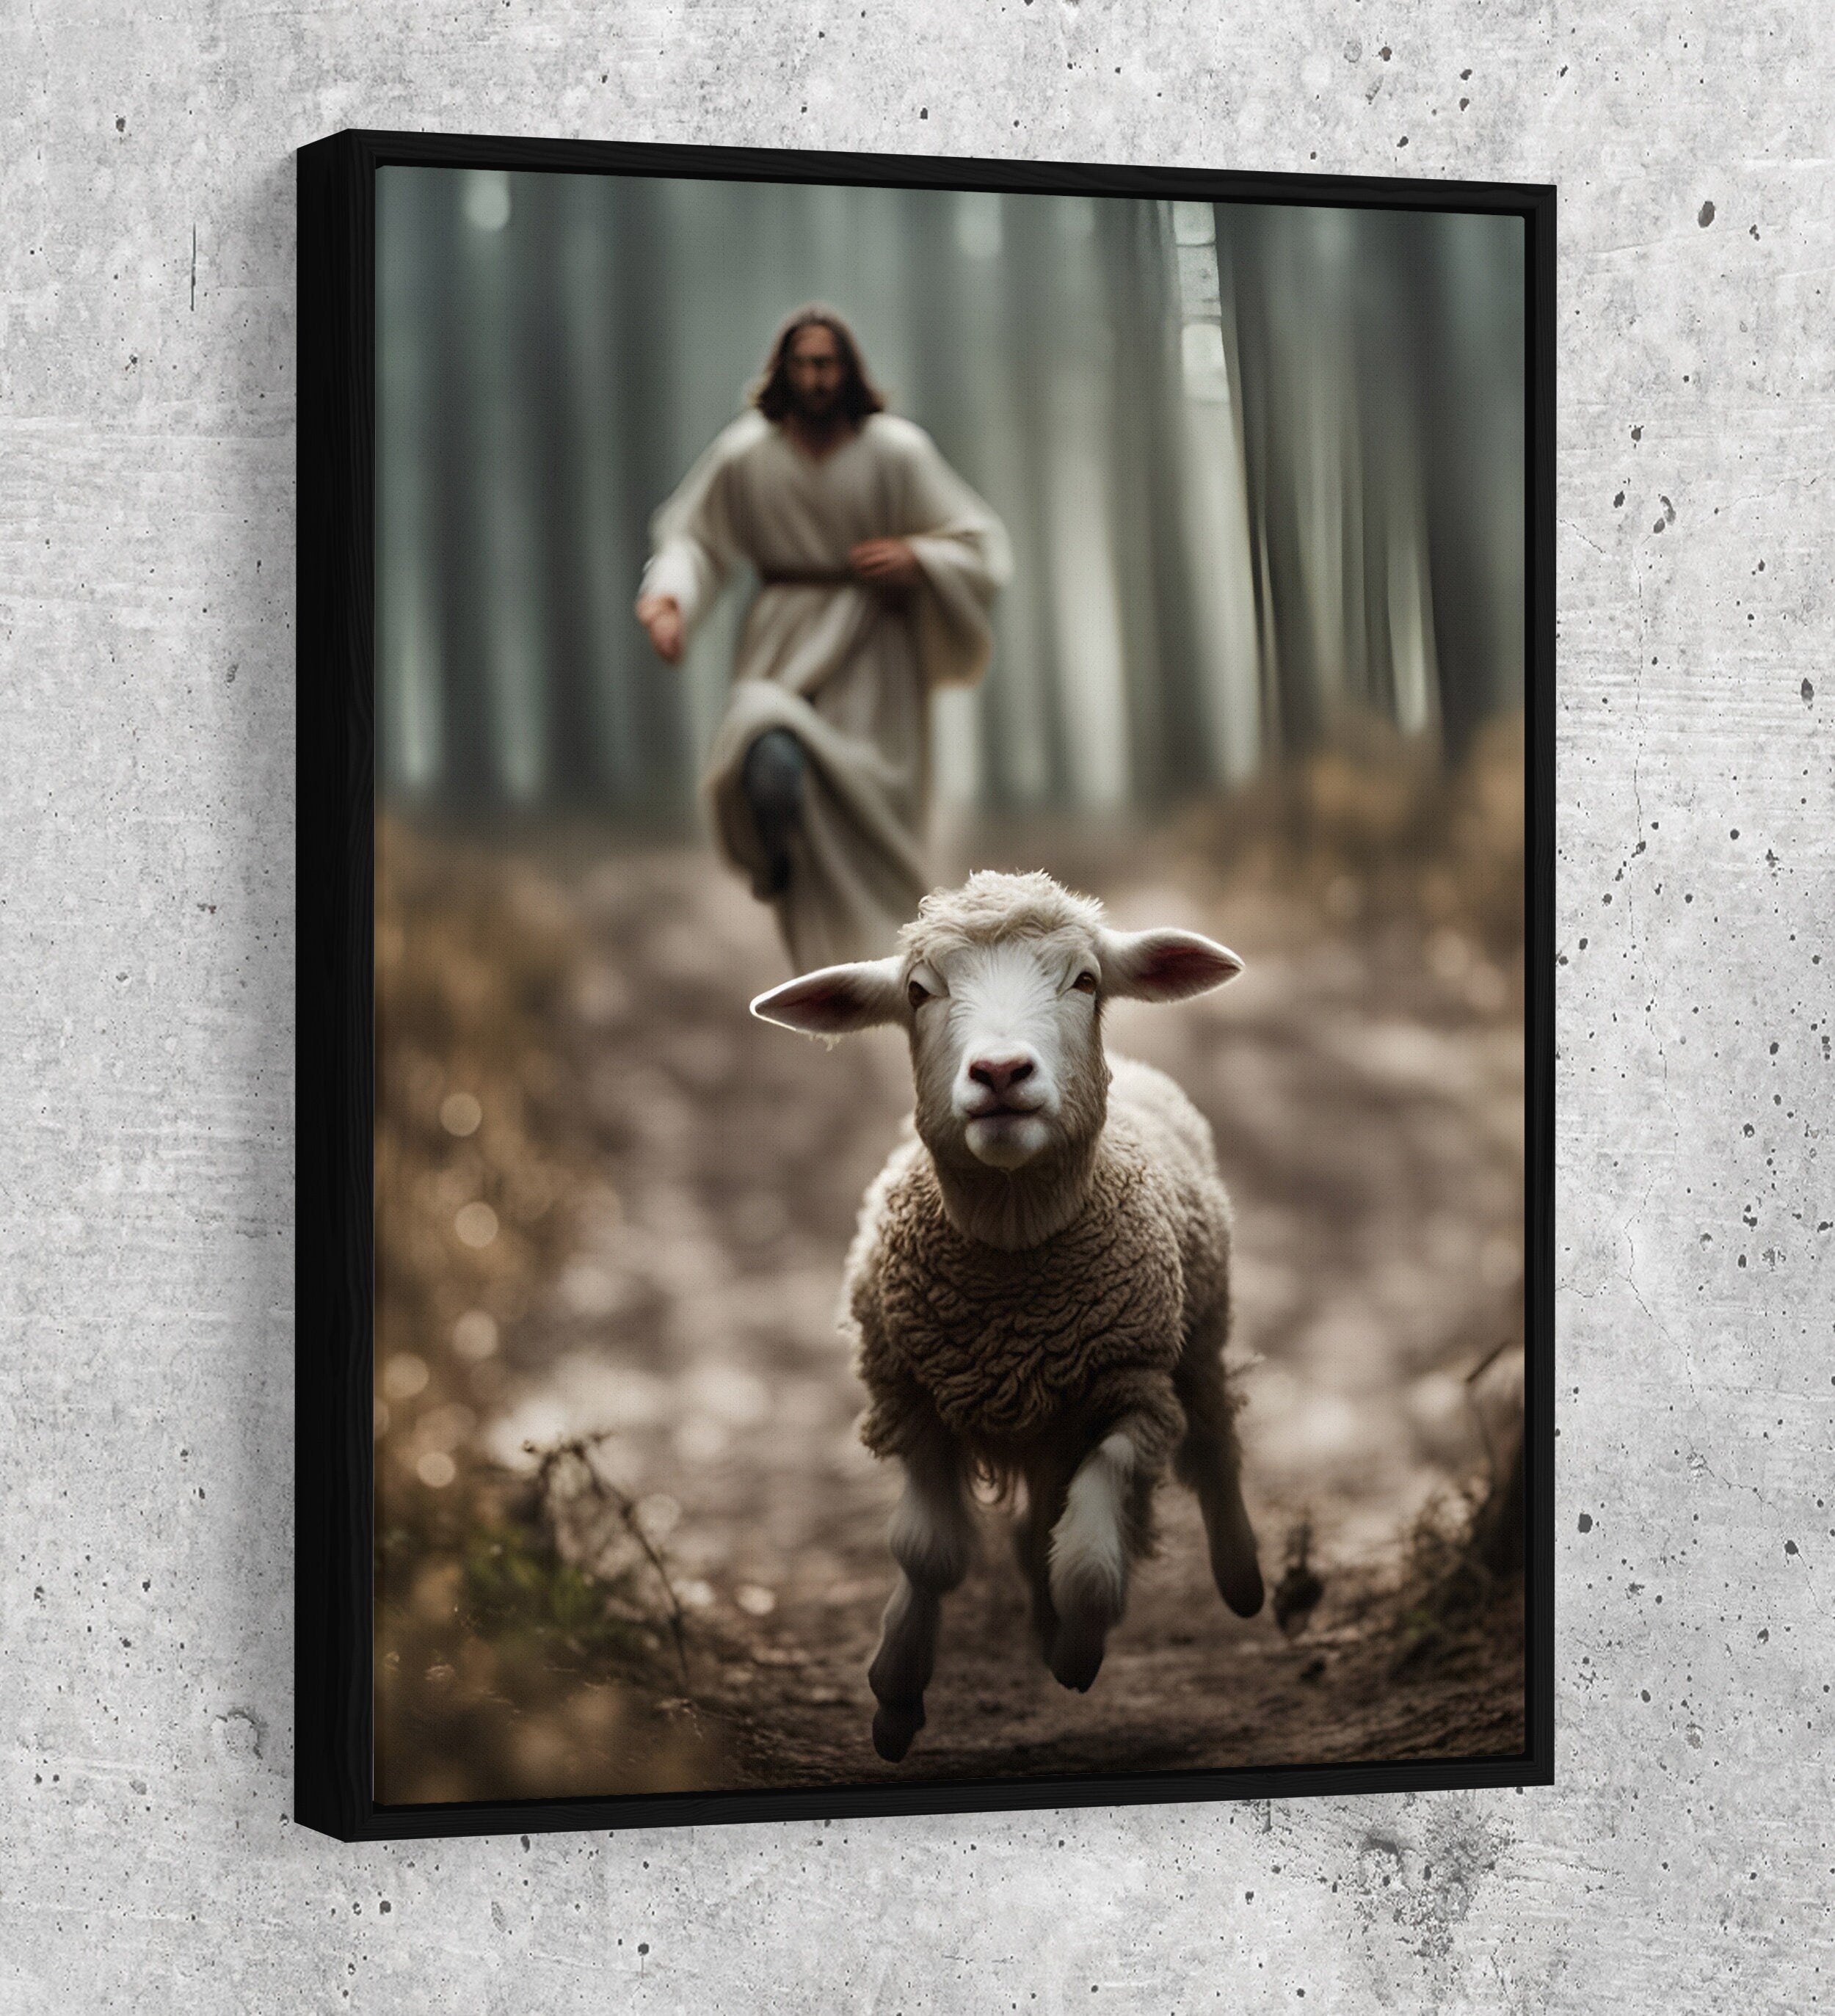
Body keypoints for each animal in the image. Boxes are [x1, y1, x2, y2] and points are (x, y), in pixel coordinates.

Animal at [751, 869, 1265, 1762]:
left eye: (1086, 980)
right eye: (918, 992)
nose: (999, 1072)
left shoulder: (1134, 1393)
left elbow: (1088, 1564)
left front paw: (1079, 1651)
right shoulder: (911, 1400)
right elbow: (928, 1553)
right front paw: (895, 1697)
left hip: (1199, 1330)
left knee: (1211, 1436)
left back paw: (1240, 1577)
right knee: (1040, 1521)